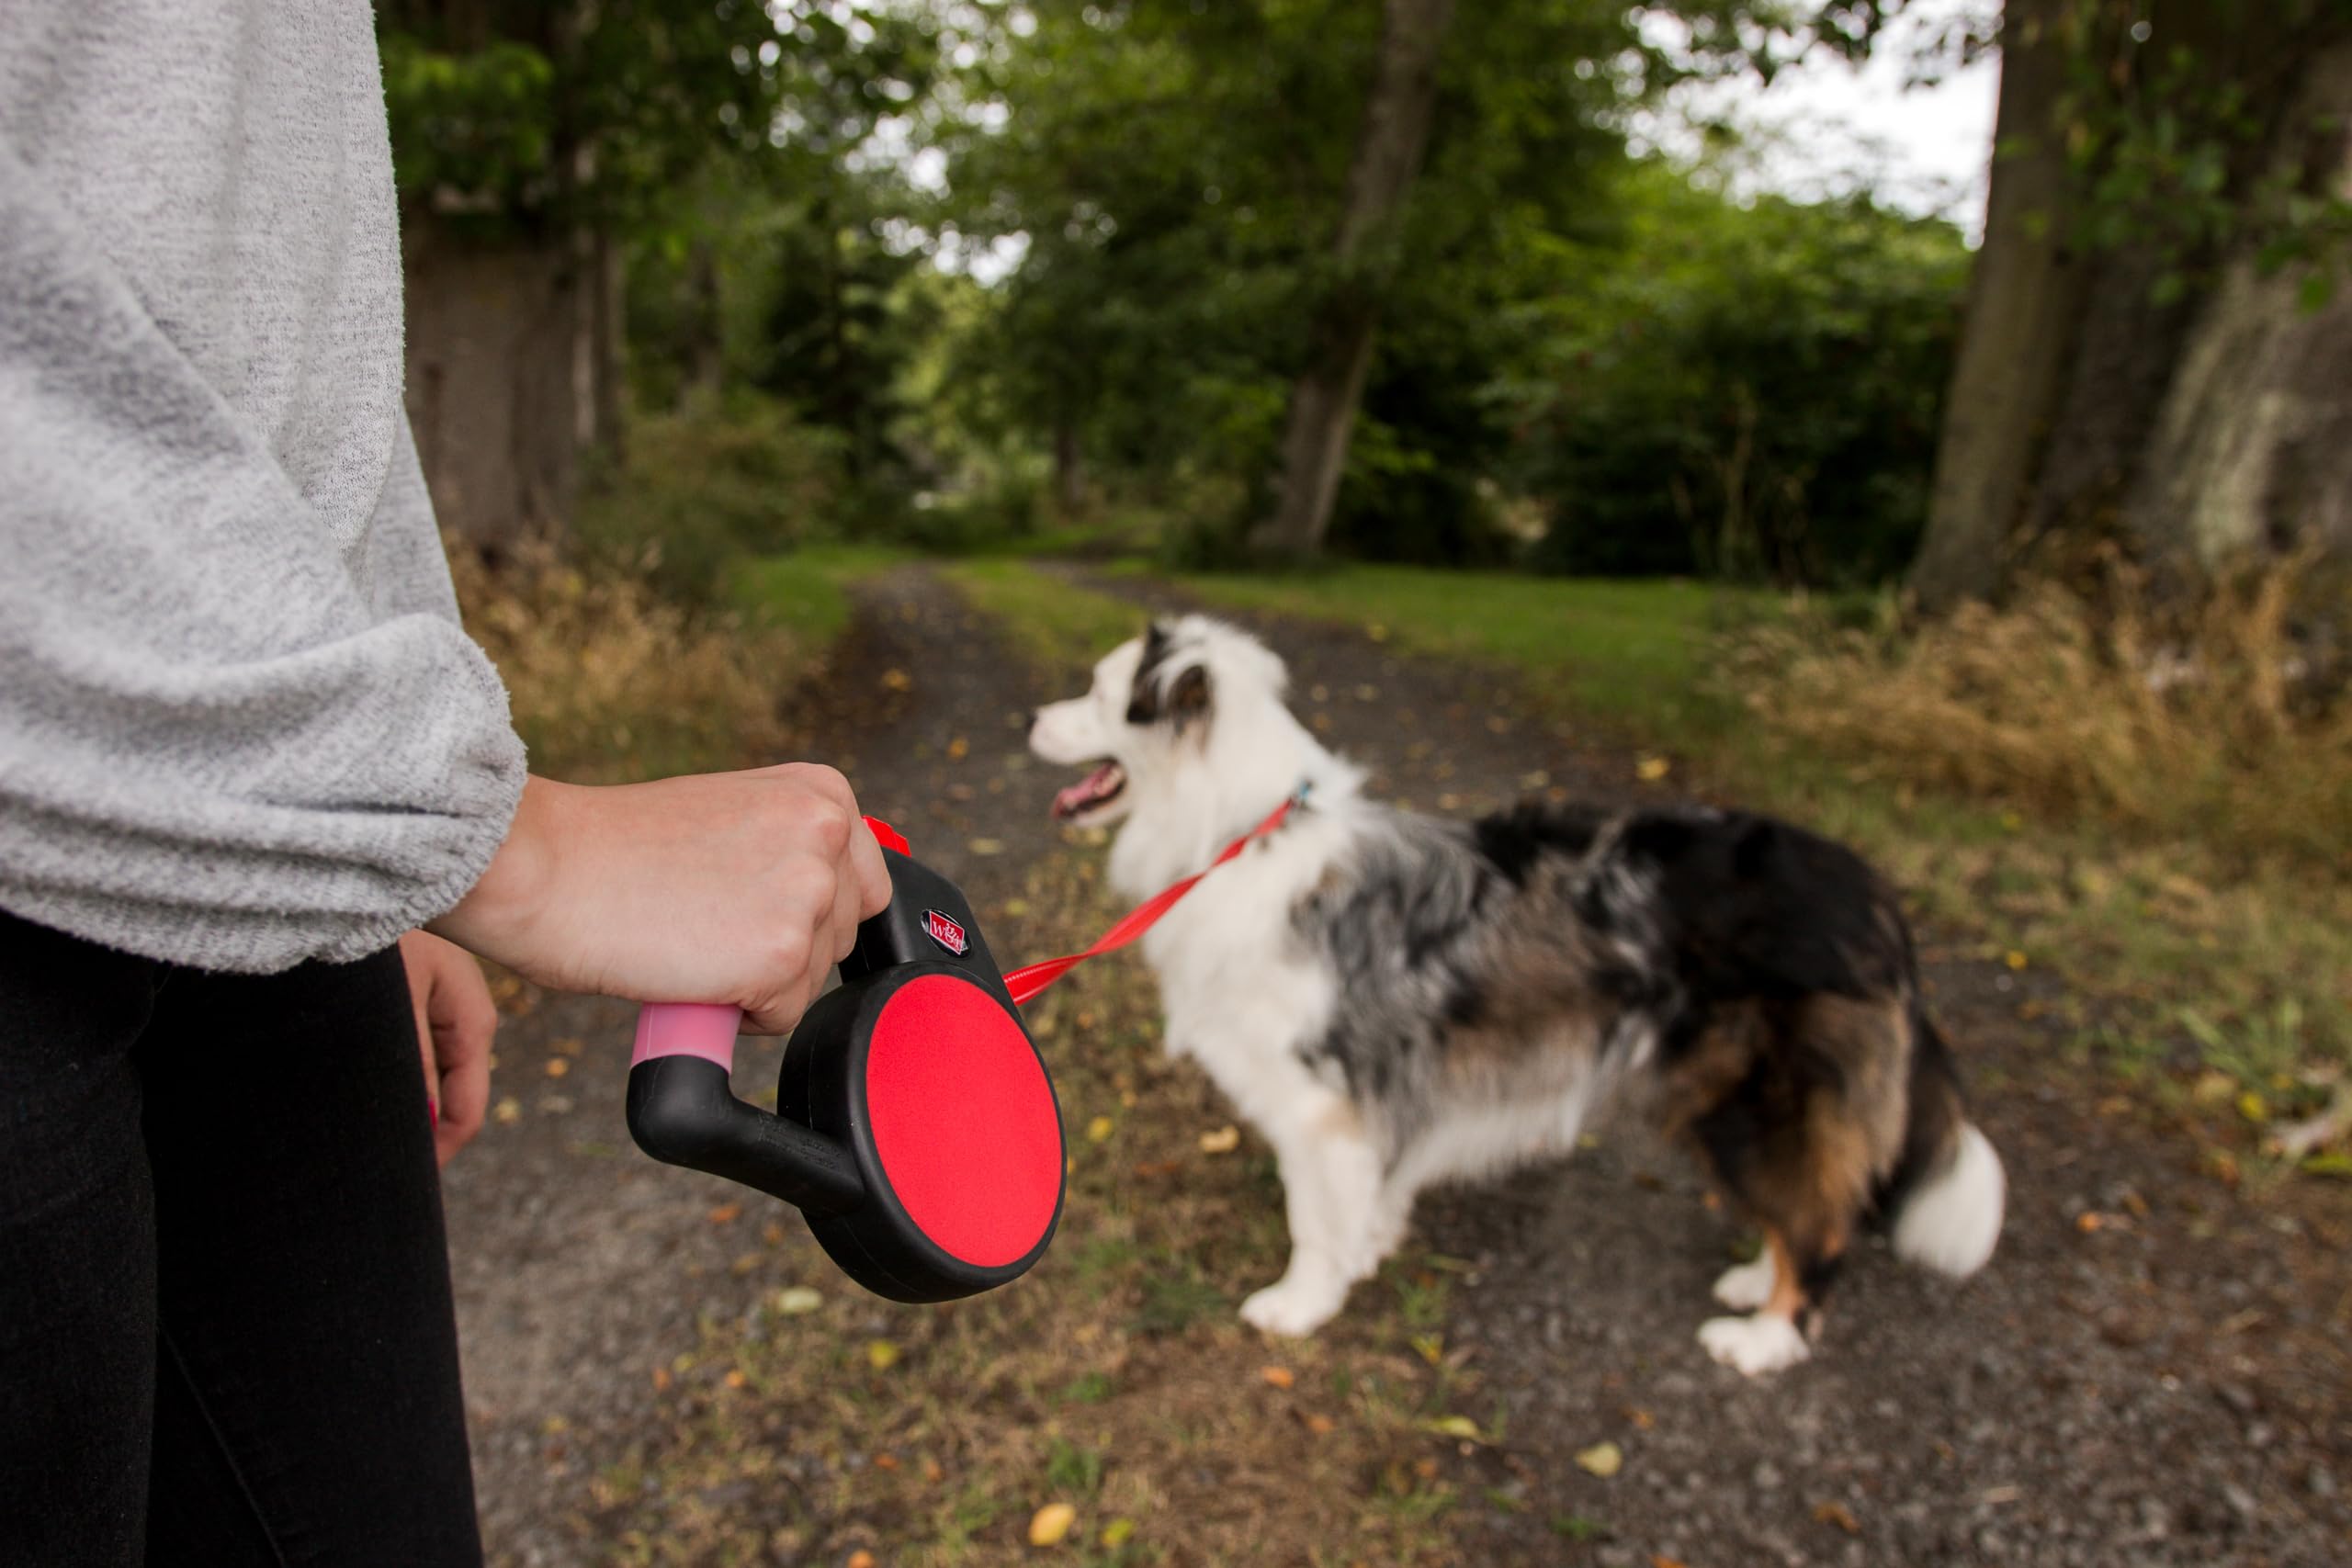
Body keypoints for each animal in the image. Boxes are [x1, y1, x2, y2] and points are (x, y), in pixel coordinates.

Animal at [1030, 611, 2004, 1372]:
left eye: (1099, 692)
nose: (1033, 715)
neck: (1249, 831)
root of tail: (1876, 899)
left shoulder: (1320, 1100)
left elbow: (1313, 1216)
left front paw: (1301, 1303)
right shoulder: (1378, 1100)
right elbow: (1370, 1193)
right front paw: (1367, 1251)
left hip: (1762, 1099)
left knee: (1824, 1227)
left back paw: (1765, 1337)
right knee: (1808, 1204)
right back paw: (1756, 1281)